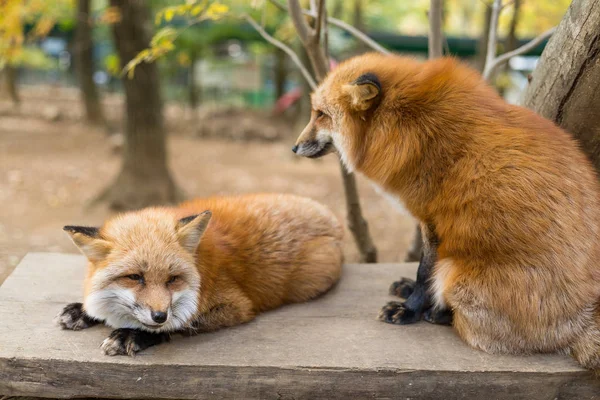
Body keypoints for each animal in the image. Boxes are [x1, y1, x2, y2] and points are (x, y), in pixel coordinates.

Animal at [56, 194, 342, 356]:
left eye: (172, 279)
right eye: (135, 277)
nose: (159, 316)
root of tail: (328, 214)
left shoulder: (237, 306)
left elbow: (181, 324)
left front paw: (134, 334)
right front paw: (83, 311)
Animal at [292, 52, 600, 372]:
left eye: (320, 114)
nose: (294, 147)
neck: (404, 121)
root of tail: (582, 319)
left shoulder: (434, 220)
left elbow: (425, 272)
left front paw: (409, 310)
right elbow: (421, 272)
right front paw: (409, 292)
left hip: (456, 274)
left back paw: (438, 313)